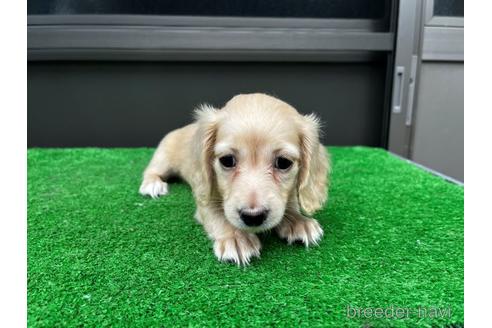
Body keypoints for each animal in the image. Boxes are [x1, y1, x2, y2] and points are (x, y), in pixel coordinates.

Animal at [139, 93, 330, 266]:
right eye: (227, 160)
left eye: (283, 163)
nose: (253, 217)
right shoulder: (205, 198)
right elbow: (217, 214)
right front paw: (235, 237)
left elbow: (289, 204)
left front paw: (298, 221)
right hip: (163, 157)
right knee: (151, 170)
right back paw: (152, 184)